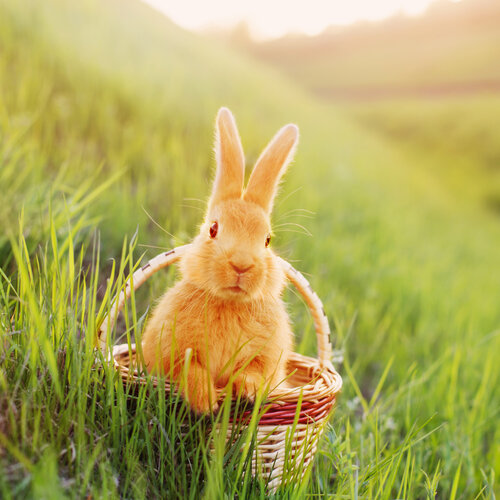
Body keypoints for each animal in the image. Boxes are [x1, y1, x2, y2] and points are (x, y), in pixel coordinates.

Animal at [141, 106, 298, 414]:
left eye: (267, 239)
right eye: (213, 228)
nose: (241, 265)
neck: (230, 303)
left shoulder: (267, 359)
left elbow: (254, 371)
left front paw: (248, 391)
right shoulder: (172, 350)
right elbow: (189, 368)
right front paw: (206, 402)